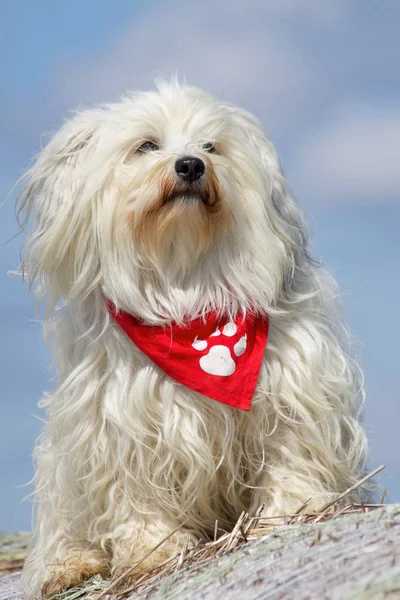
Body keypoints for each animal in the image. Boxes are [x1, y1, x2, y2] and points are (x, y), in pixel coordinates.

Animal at [18, 81, 368, 596]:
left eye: (211, 146)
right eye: (146, 145)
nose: (190, 165)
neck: (186, 281)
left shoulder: (292, 390)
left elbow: (291, 457)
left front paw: (293, 514)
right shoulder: (123, 421)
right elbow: (137, 493)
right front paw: (153, 552)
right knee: (61, 533)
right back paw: (71, 566)